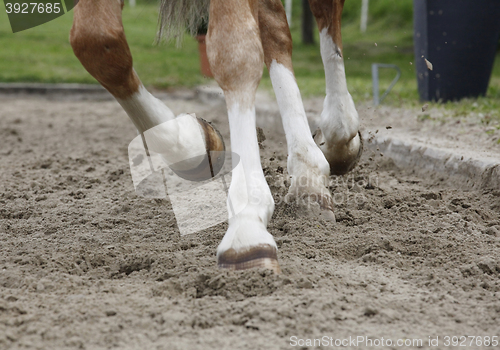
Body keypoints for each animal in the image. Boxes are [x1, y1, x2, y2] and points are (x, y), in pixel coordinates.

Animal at [68, 0, 362, 274]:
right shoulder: (98, 40)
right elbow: (96, 42)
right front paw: (194, 141)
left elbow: (235, 53)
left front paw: (247, 222)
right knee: (276, 29)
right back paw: (308, 175)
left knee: (322, 12)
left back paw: (337, 137)